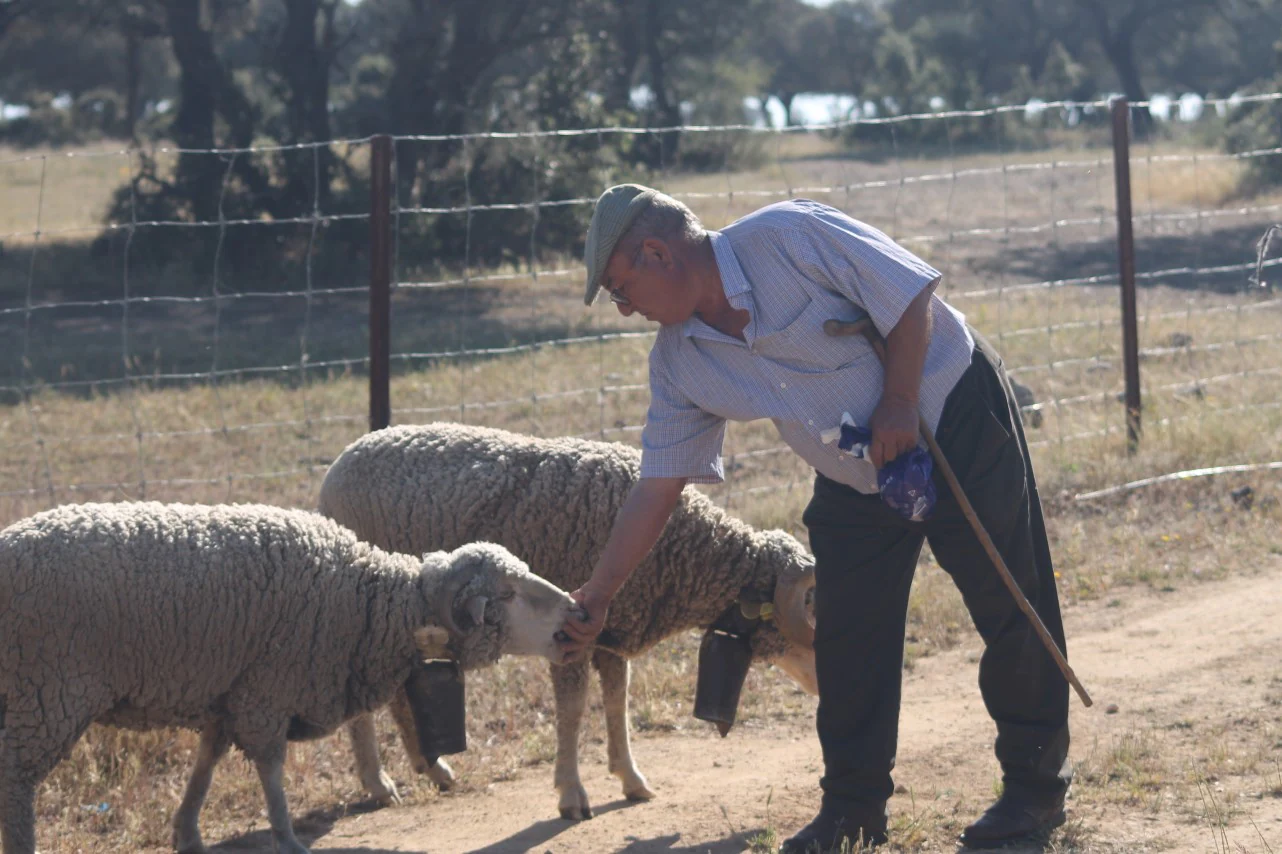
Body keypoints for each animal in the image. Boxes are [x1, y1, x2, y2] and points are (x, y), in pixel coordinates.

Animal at [0, 502, 576, 851]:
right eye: (508, 595)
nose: (574, 608)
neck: (366, 605)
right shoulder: (267, 690)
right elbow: (272, 771)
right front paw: (287, 837)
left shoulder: (230, 693)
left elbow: (206, 764)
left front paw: (187, 831)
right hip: (46, 694)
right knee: (16, 783)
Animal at [320, 418, 820, 820]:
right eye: (809, 618)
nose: (823, 688)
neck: (672, 551)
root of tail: (346, 457)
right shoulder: (569, 635)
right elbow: (575, 710)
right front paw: (572, 794)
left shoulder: (610, 631)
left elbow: (618, 701)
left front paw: (631, 778)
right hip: (359, 611)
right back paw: (379, 783)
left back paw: (433, 768)